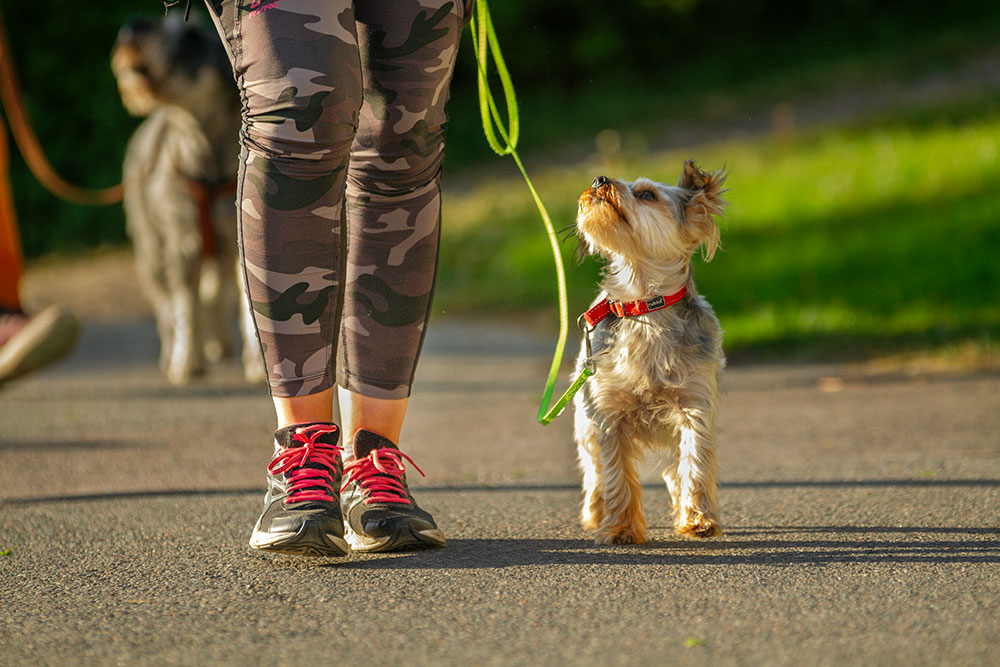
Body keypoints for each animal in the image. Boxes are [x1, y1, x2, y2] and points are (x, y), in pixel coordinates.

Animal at [111, 11, 264, 386]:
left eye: (193, 37)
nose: (134, 26)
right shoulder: (183, 244)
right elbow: (185, 307)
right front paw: (186, 361)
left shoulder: (238, 240)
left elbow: (245, 305)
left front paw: (256, 362)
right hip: (152, 252)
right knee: (167, 308)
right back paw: (173, 353)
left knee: (214, 296)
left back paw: (221, 344)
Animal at [576, 159, 732, 544]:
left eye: (647, 194)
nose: (599, 178)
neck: (644, 307)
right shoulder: (609, 415)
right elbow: (617, 475)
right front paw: (619, 528)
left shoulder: (695, 407)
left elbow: (695, 464)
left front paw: (699, 519)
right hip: (584, 422)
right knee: (594, 470)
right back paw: (596, 512)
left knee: (676, 468)